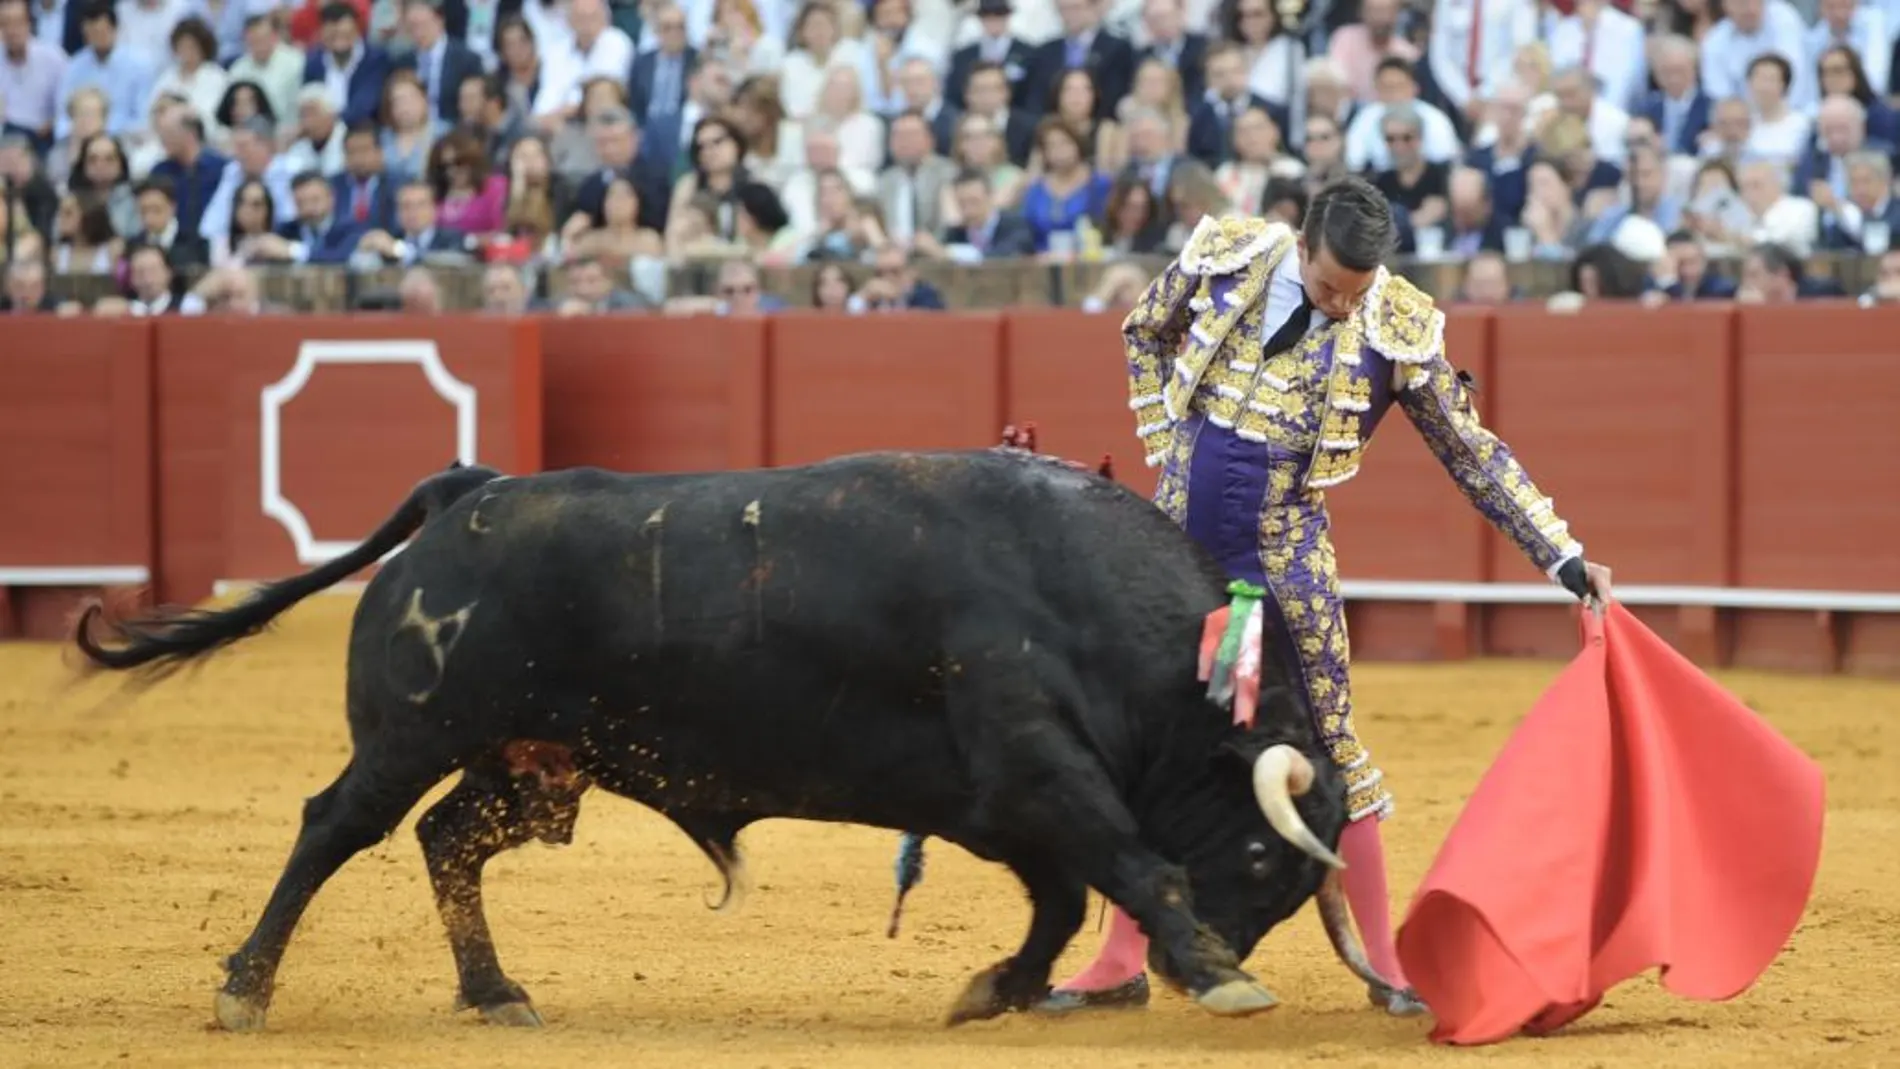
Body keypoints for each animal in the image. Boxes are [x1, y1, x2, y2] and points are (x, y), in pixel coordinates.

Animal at [70, 451, 1398, 1040]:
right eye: (1269, 859)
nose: (1183, 967)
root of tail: (470, 490)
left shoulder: (1004, 796)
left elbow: (1063, 899)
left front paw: (996, 989)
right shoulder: (1036, 765)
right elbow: (1128, 864)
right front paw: (1218, 971)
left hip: (522, 759)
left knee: (450, 839)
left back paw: (495, 992)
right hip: (414, 730)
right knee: (336, 825)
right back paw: (245, 986)